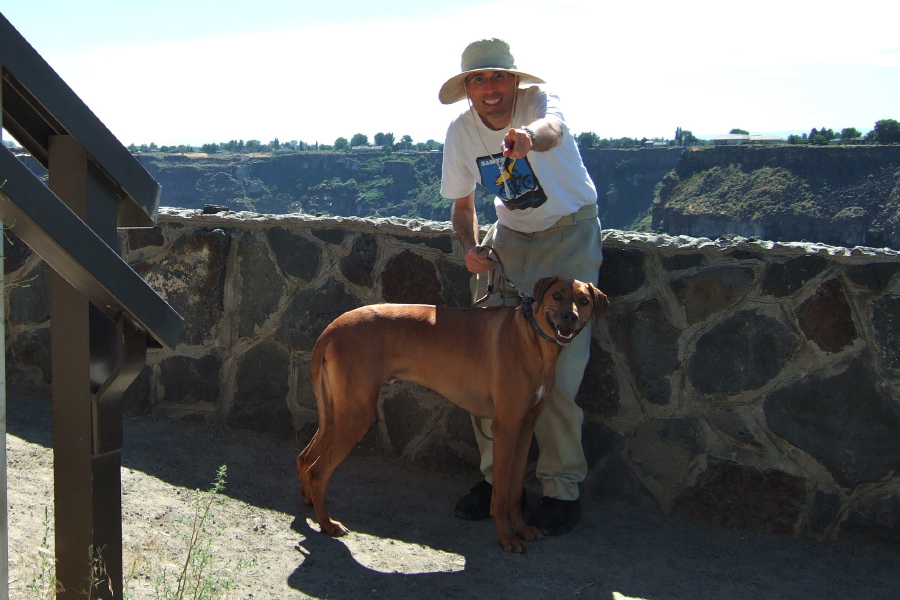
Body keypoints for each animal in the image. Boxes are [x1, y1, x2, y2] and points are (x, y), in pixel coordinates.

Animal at [298, 276, 608, 552]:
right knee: (317, 470)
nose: (570, 317)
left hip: (338, 412)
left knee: (304, 458)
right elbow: (501, 493)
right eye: (557, 295)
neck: (533, 341)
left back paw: (310, 502)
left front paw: (521, 528)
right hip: (356, 413)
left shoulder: (525, 428)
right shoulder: (506, 428)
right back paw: (327, 524)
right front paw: (506, 538)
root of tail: (332, 327)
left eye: (583, 301)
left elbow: (514, 490)